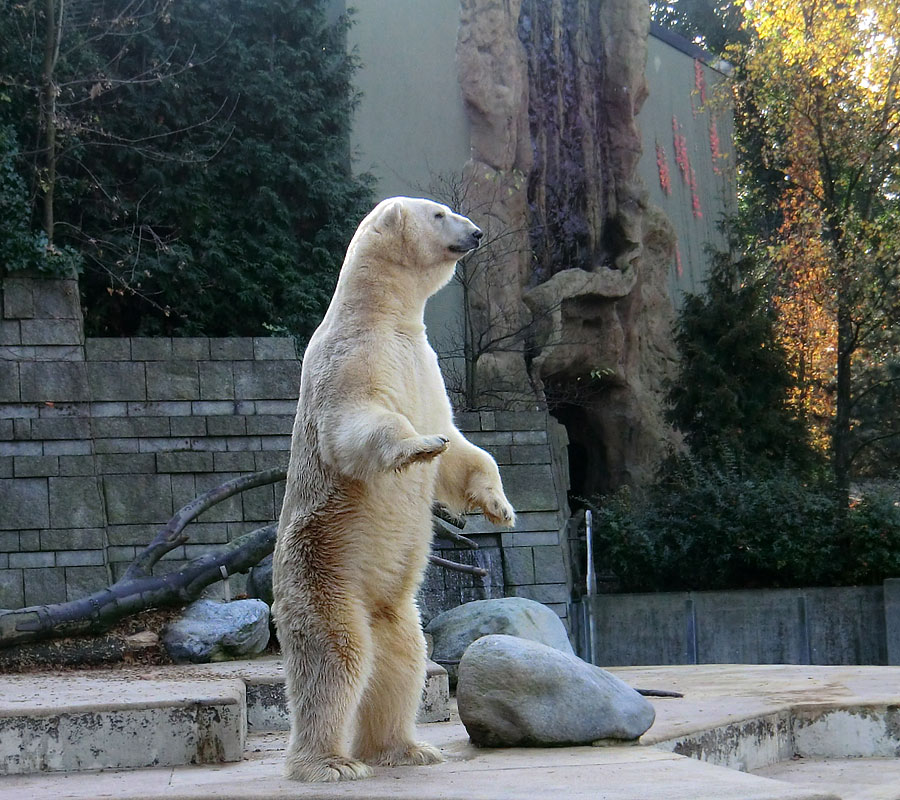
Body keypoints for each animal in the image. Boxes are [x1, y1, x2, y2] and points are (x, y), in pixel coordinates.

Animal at [270, 197, 516, 784]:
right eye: (439, 214)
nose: (476, 233)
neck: (383, 316)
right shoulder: (350, 358)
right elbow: (359, 421)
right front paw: (416, 446)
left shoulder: (426, 367)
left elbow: (462, 449)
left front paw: (498, 506)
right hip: (321, 572)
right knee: (336, 659)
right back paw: (330, 763)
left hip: (395, 606)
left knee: (403, 658)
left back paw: (405, 748)